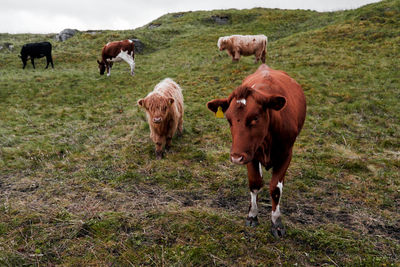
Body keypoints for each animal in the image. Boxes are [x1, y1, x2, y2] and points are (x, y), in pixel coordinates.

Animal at [206, 65, 306, 239]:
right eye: (229, 120)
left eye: (255, 118)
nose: (235, 157)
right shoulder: (250, 155)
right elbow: (255, 183)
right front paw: (252, 215)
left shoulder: (286, 154)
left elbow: (275, 189)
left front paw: (276, 222)